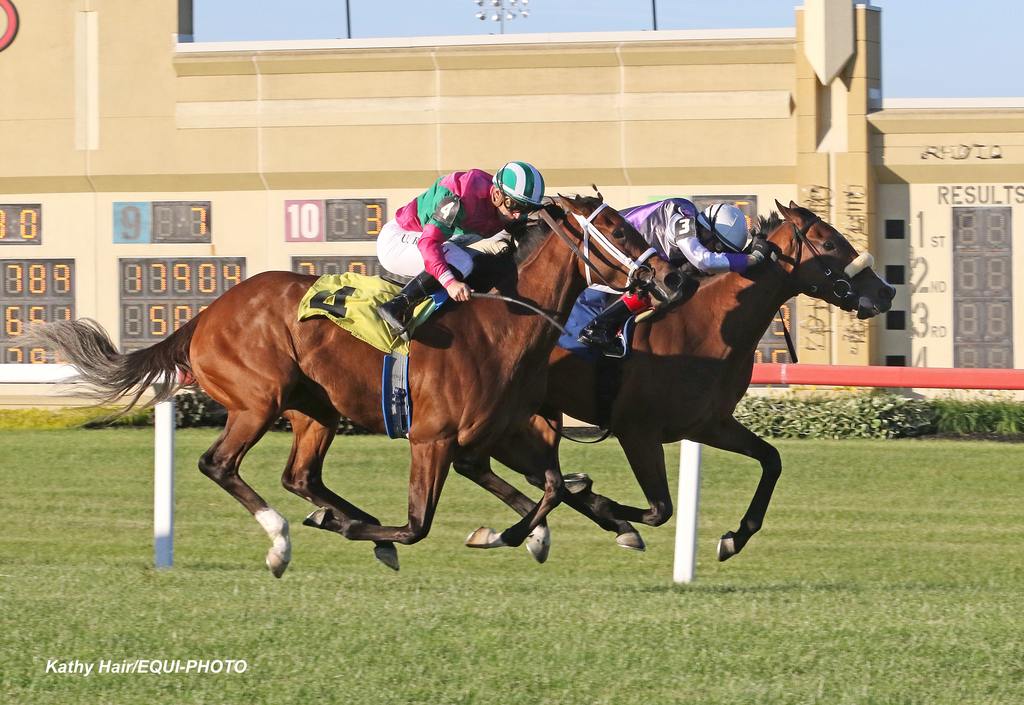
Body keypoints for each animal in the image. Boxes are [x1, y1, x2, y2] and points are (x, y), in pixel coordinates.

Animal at [32, 195, 675, 573]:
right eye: (616, 228)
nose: (672, 278)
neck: (502, 318)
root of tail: (206, 313)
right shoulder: (434, 438)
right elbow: (419, 524)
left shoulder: (500, 430)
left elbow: (550, 488)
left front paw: (550, 529)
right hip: (258, 400)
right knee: (221, 465)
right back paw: (285, 539)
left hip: (314, 410)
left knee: (301, 476)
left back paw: (335, 520)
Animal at [456, 199, 897, 561]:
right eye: (829, 244)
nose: (886, 292)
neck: (707, 324)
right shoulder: (637, 430)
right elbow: (659, 510)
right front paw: (610, 513)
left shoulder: (708, 424)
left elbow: (771, 460)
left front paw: (734, 538)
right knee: (496, 466)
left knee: (508, 468)